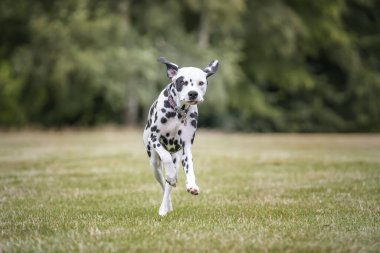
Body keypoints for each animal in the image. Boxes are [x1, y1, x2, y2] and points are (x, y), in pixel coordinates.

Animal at [142, 56, 220, 215]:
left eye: (201, 83)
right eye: (182, 82)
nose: (193, 93)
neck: (178, 112)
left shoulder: (186, 148)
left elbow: (190, 168)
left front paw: (192, 185)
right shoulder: (154, 139)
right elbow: (165, 157)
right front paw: (171, 176)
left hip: (176, 159)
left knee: (168, 187)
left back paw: (165, 206)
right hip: (154, 164)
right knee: (163, 183)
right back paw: (165, 206)